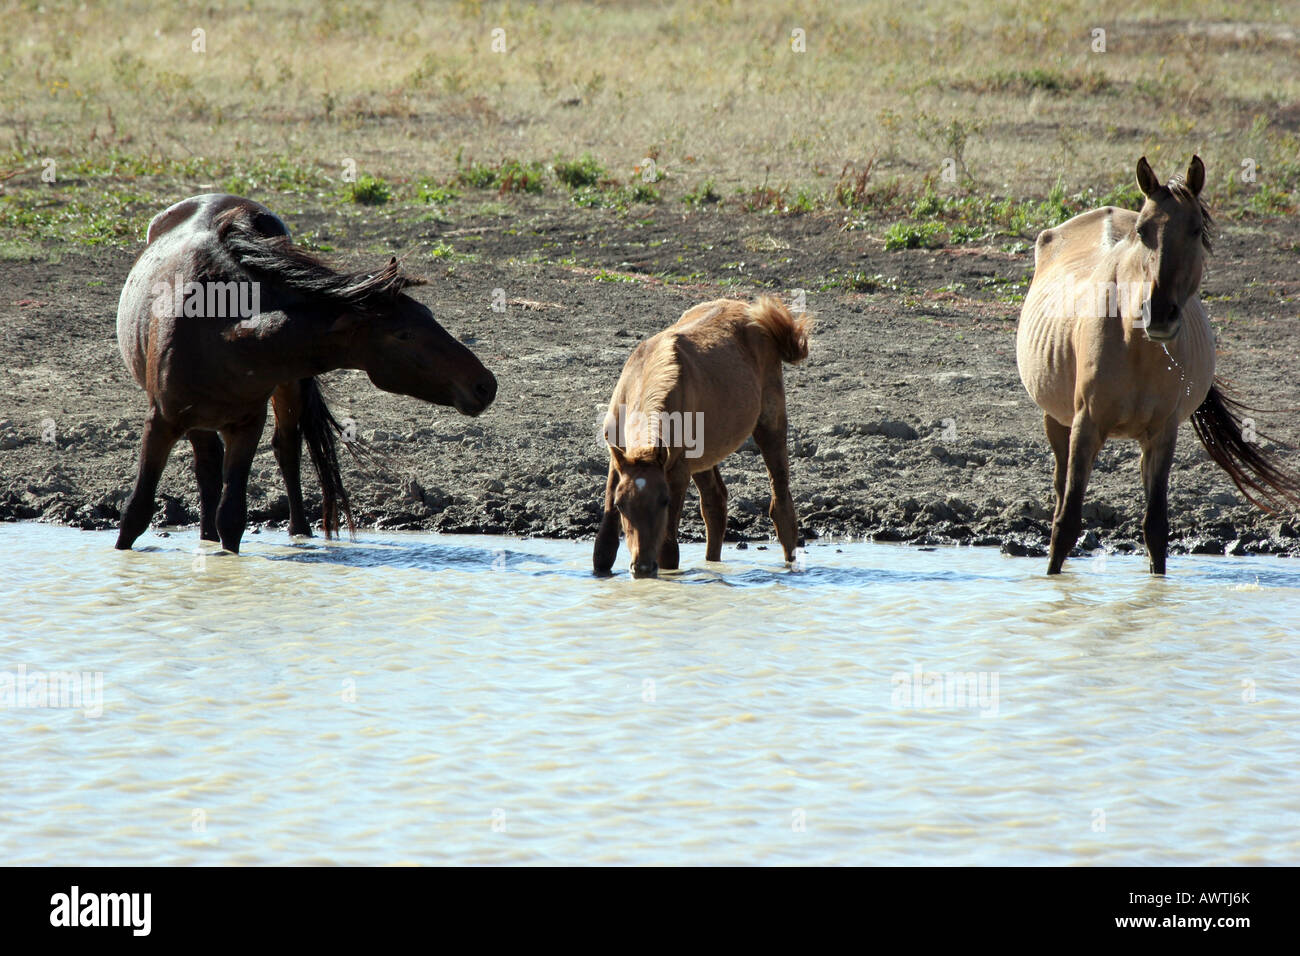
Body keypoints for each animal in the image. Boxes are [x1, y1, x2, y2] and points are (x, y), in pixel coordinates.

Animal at [114, 193, 497, 554]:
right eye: (403, 334)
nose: (485, 385)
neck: (222, 336)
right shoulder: (160, 421)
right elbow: (136, 513)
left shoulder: (246, 425)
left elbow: (232, 516)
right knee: (209, 465)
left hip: (290, 385)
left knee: (285, 448)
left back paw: (299, 531)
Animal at [593, 296, 811, 578]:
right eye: (621, 505)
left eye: (663, 500)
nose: (641, 567)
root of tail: (751, 310)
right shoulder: (618, 461)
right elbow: (604, 545)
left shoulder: (676, 472)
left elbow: (668, 551)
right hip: (704, 456)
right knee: (715, 504)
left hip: (770, 426)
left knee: (781, 505)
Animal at [1017, 155, 1300, 574]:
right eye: (1143, 230)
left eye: (1196, 229)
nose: (1160, 313)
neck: (1137, 347)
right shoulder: (1085, 424)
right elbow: (1065, 524)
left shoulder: (1163, 434)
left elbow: (1155, 527)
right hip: (1057, 419)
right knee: (1059, 486)